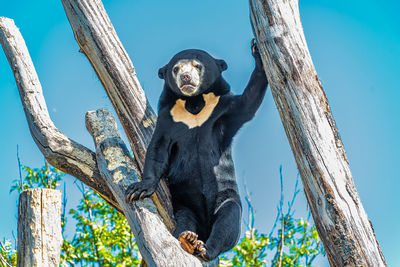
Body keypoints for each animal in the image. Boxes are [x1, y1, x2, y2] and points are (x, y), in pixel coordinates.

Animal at [126, 40, 268, 262]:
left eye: (197, 66)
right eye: (176, 68)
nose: (185, 77)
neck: (194, 103)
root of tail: (204, 228)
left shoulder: (222, 109)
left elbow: (248, 103)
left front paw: (258, 54)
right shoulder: (168, 118)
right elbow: (157, 149)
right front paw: (139, 189)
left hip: (226, 195)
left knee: (227, 221)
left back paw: (204, 248)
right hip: (184, 203)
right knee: (185, 220)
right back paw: (189, 239)